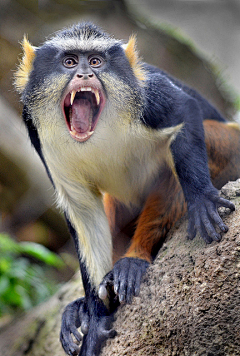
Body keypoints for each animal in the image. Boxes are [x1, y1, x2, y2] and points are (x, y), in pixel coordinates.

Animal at [15, 23, 240, 356]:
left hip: (230, 145)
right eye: (69, 62)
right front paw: (96, 318)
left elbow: (185, 109)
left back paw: (134, 260)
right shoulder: (37, 131)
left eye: (96, 62)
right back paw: (84, 304)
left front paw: (201, 197)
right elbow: (82, 208)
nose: (85, 74)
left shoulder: (149, 94)